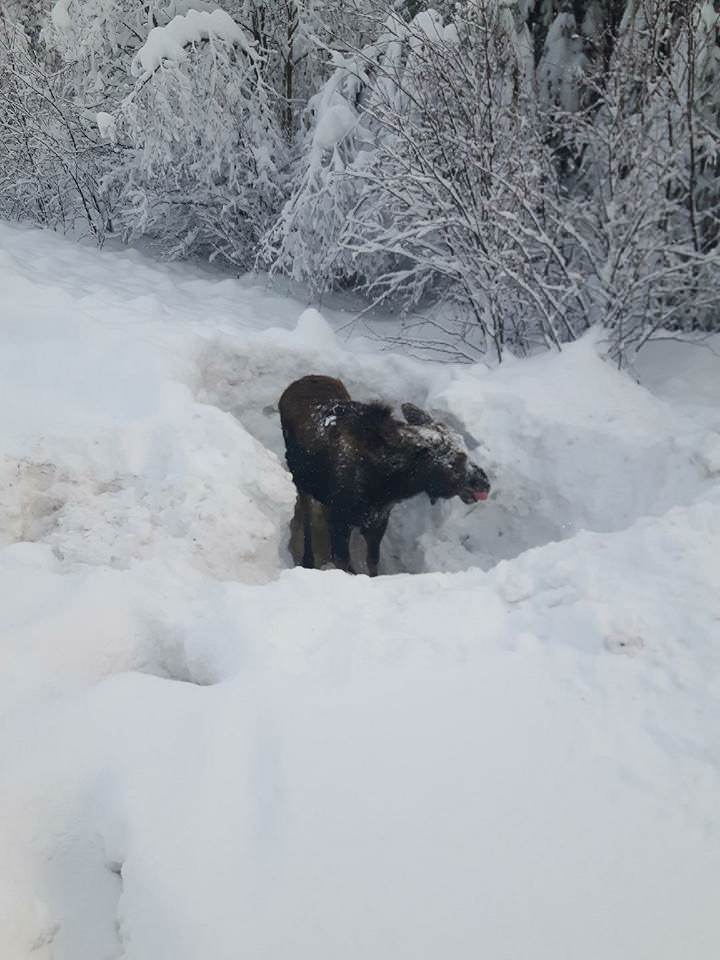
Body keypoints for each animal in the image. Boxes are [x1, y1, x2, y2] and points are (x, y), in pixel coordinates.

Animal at [278, 372, 492, 572]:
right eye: (455, 461)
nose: (485, 483)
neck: (387, 484)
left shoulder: (378, 520)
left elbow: (373, 562)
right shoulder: (341, 520)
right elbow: (343, 561)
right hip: (300, 479)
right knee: (306, 517)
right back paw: (307, 559)